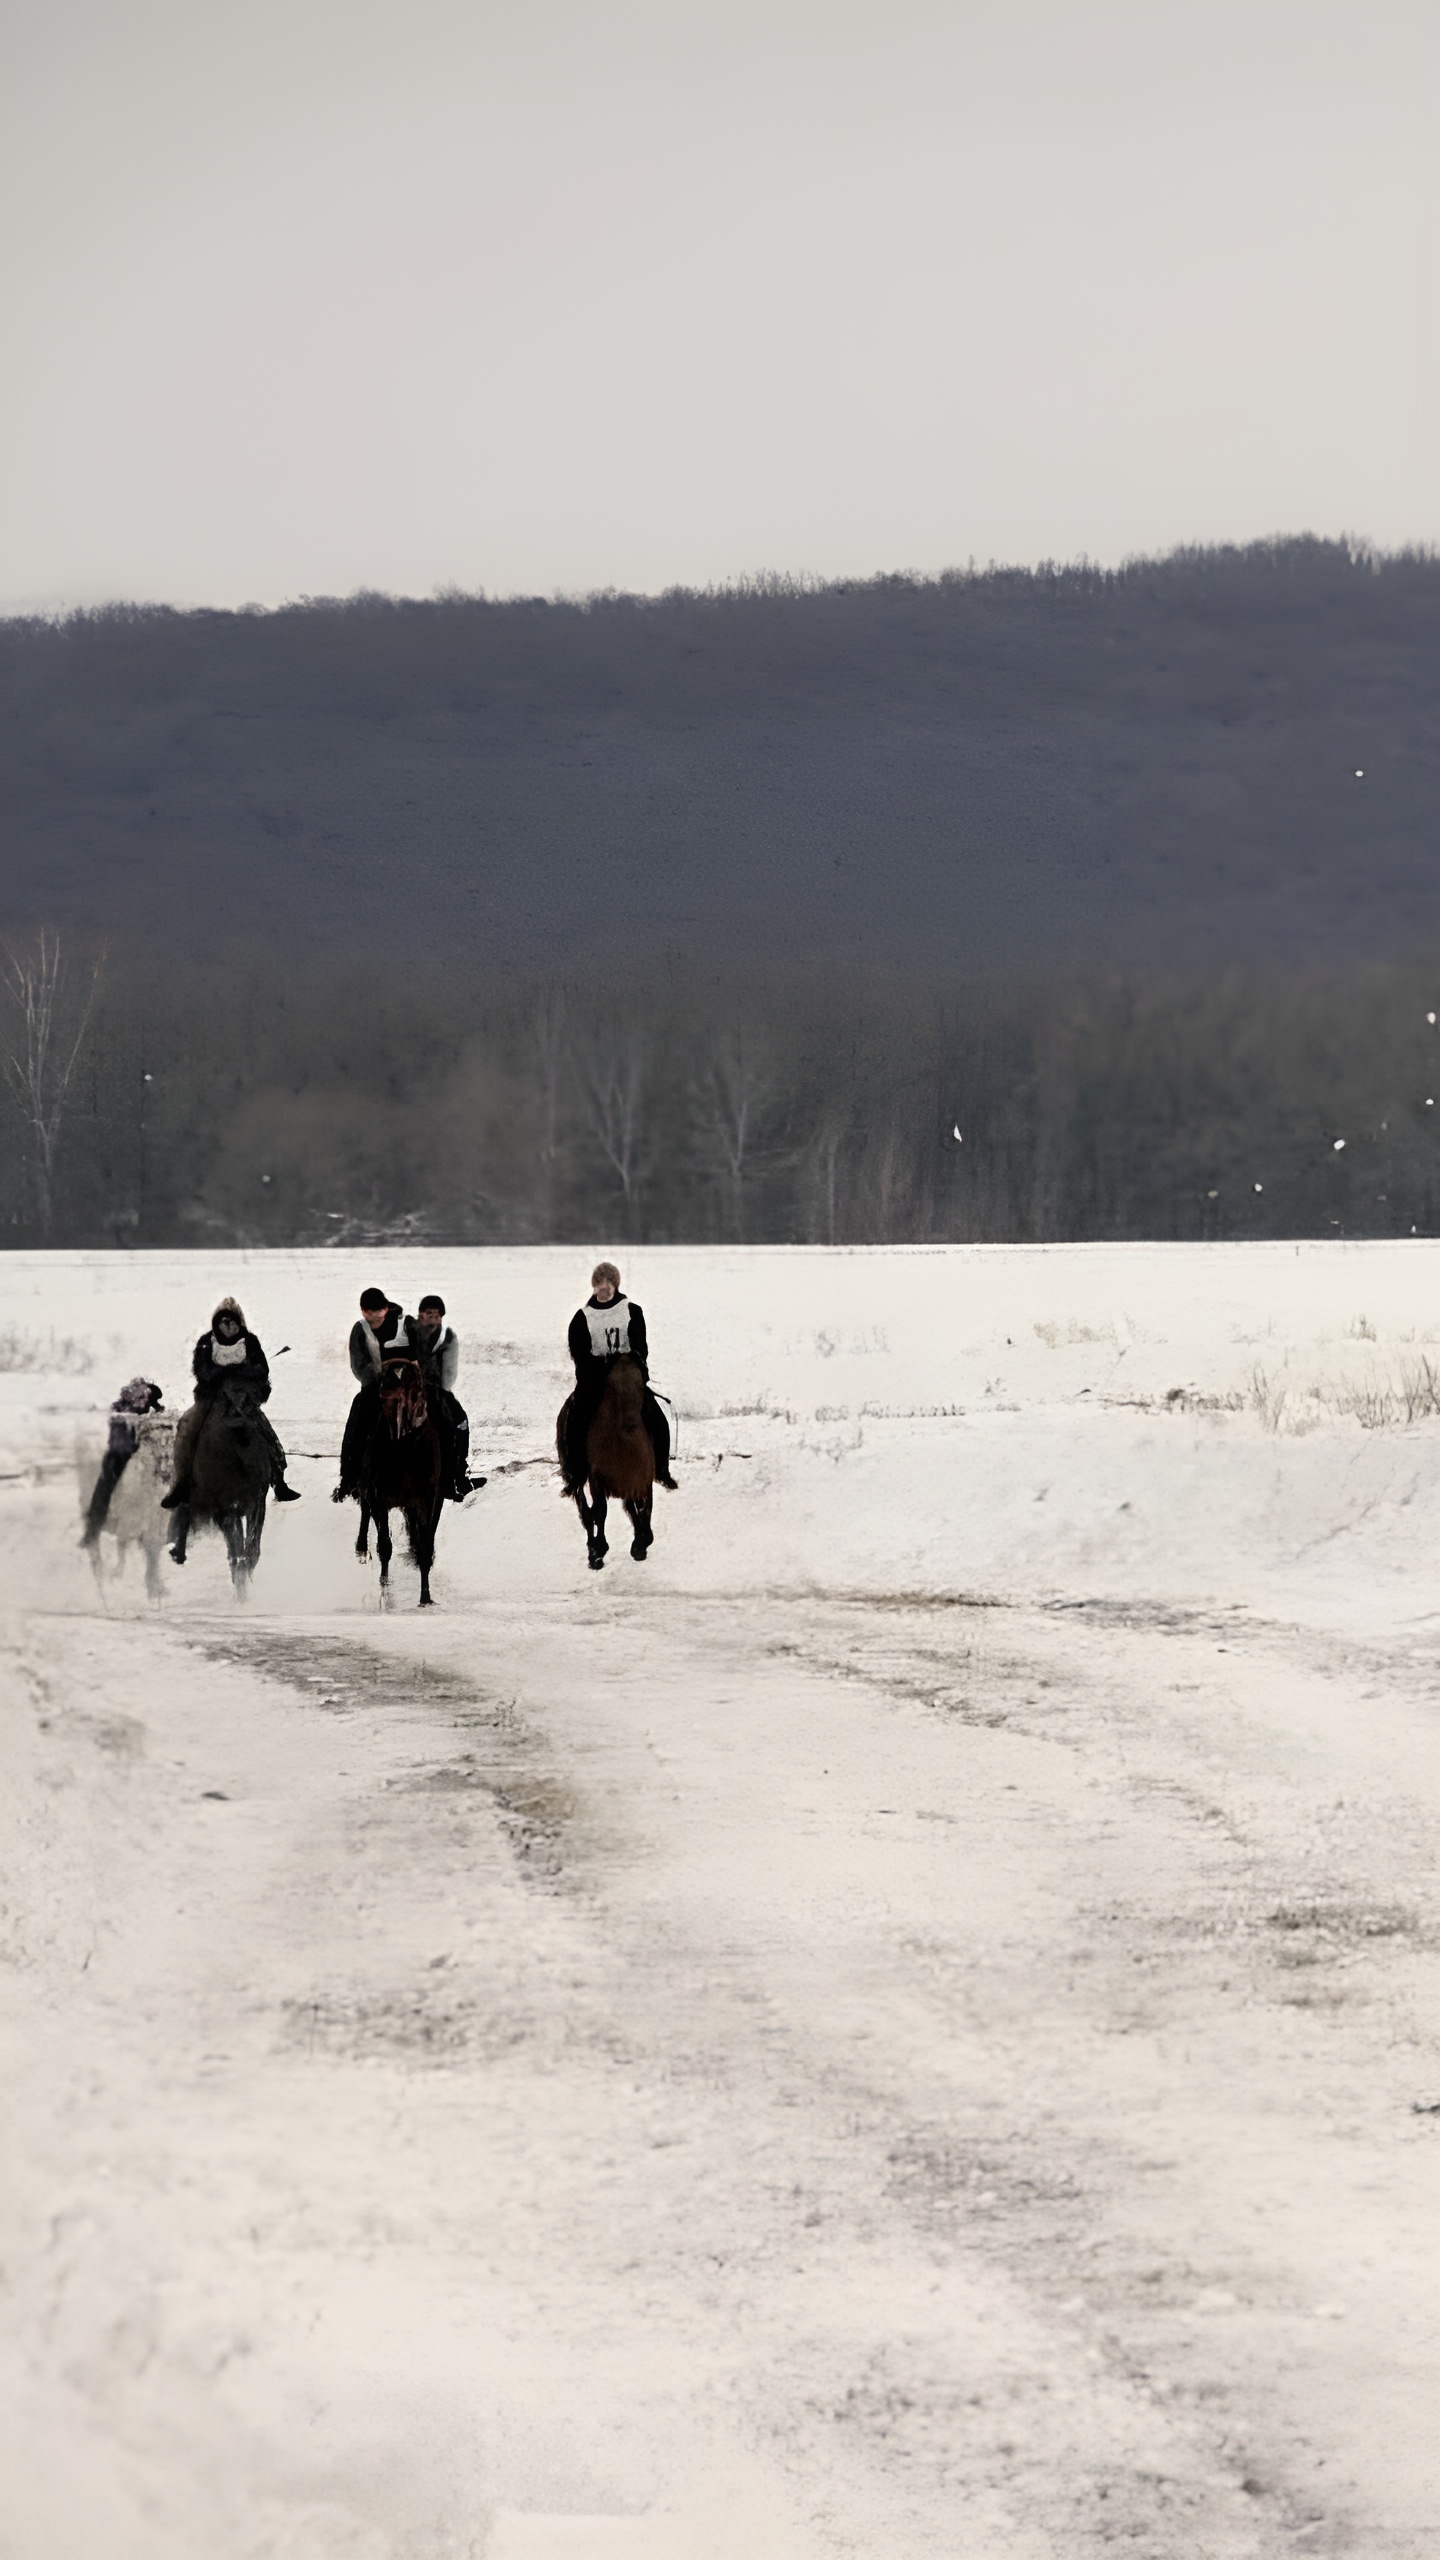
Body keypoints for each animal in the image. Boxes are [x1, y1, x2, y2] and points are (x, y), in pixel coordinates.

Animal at [558, 1351, 653, 1566]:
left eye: (642, 1379)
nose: (631, 1424)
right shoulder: (597, 1481)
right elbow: (600, 1512)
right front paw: (599, 1548)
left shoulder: (641, 1480)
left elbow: (642, 1509)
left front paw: (641, 1543)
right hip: (578, 1477)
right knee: (586, 1510)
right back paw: (594, 1549)